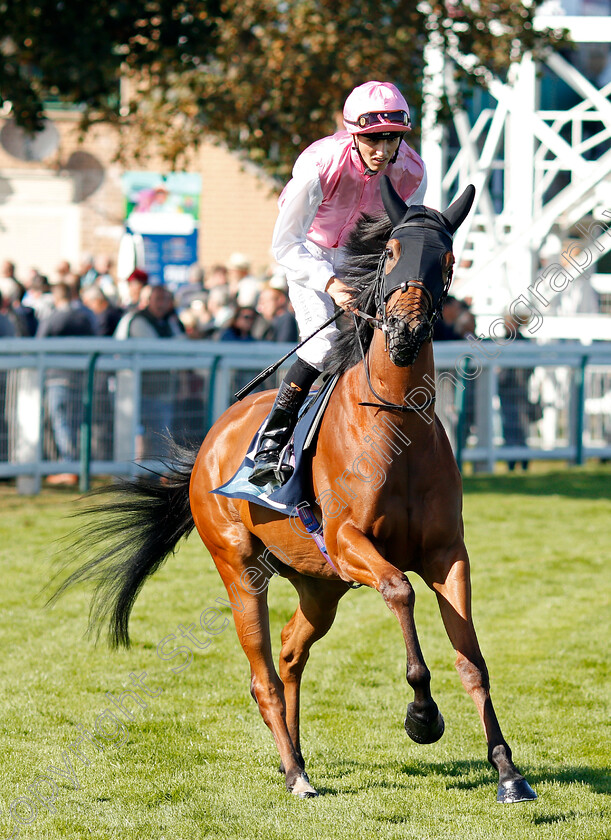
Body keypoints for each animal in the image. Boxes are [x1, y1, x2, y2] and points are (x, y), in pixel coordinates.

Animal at [52, 177, 536, 800]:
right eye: (389, 254)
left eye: (448, 260)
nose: (406, 332)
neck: (396, 423)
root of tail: (210, 442)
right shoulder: (352, 541)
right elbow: (400, 591)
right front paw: (422, 715)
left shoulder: (447, 553)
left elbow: (471, 659)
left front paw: (508, 771)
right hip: (240, 566)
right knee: (262, 672)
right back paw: (295, 772)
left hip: (319, 585)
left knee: (288, 651)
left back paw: (299, 754)